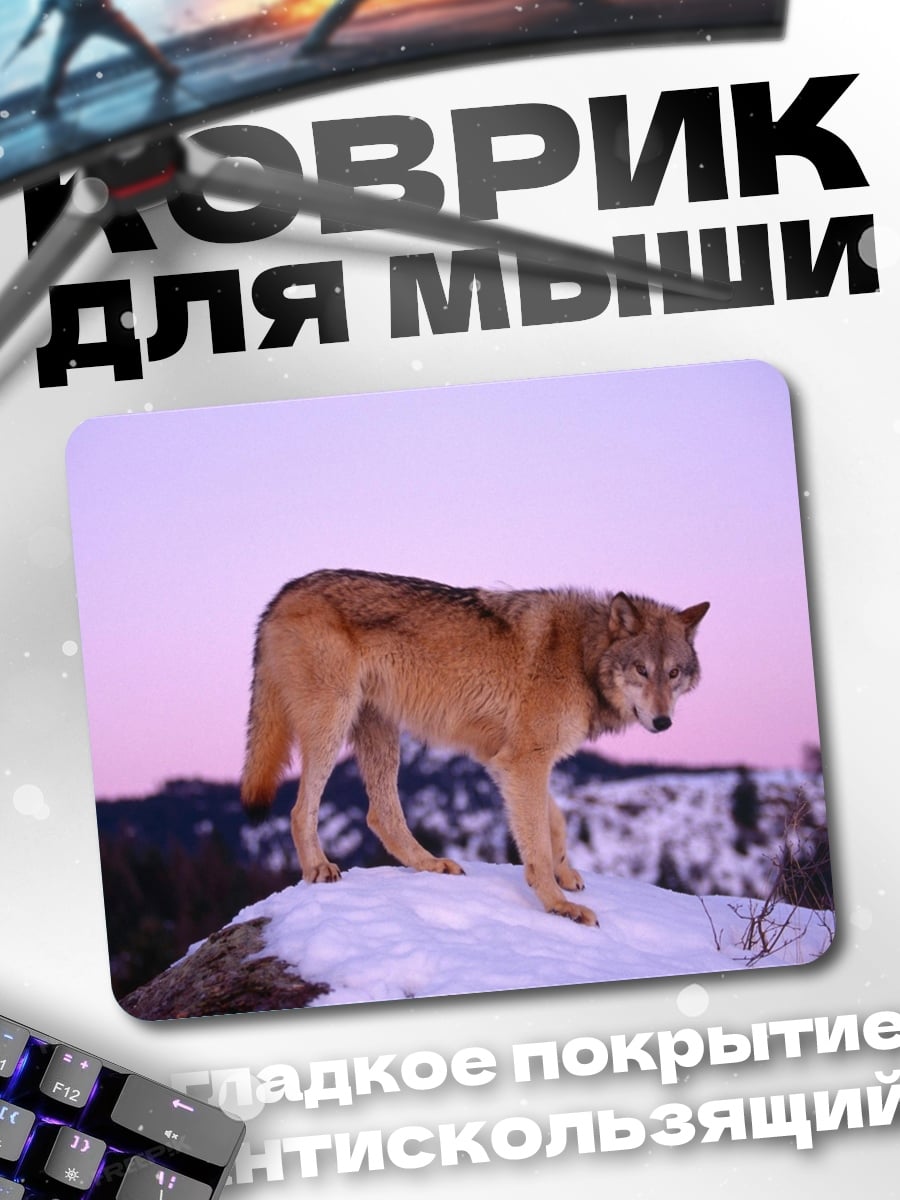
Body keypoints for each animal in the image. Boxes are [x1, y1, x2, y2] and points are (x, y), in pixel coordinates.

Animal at [241, 569, 709, 925]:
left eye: (673, 673)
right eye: (641, 670)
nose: (663, 722)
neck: (582, 655)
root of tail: (282, 594)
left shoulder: (508, 761)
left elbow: (554, 821)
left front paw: (565, 873)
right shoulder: (523, 761)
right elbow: (537, 843)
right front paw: (559, 906)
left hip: (380, 731)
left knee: (381, 815)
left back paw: (431, 864)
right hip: (332, 723)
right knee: (301, 809)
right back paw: (319, 868)